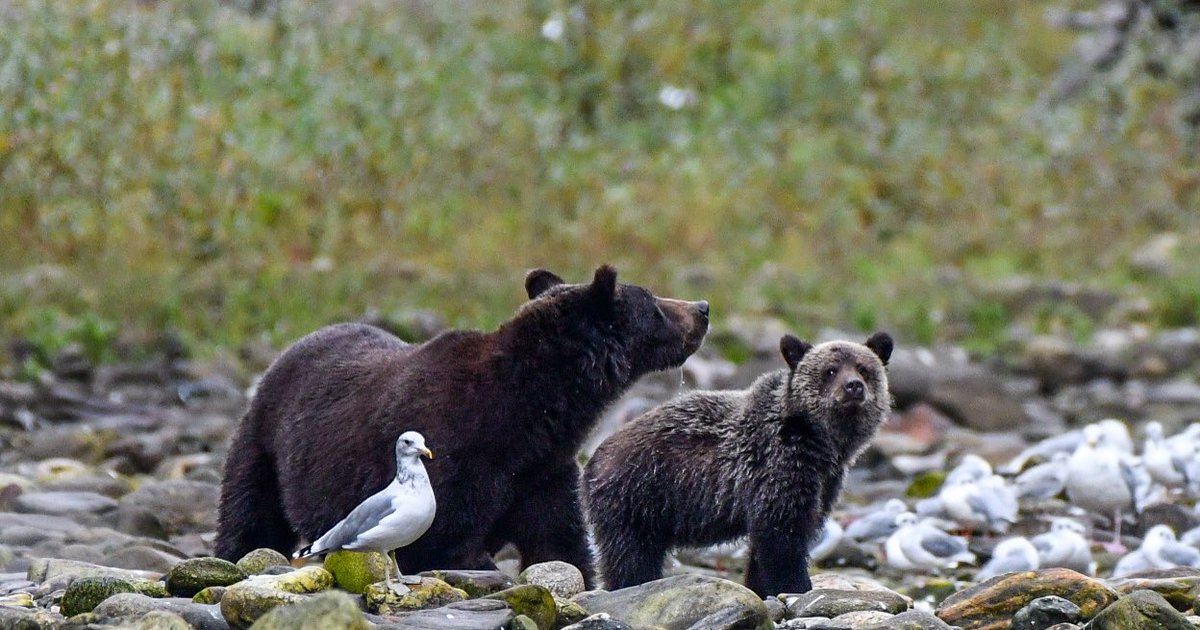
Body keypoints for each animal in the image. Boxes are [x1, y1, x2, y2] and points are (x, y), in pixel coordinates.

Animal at [214, 265, 709, 585]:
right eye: (655, 304)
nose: (702, 307)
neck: (527, 416)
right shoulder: (456, 456)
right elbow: (448, 542)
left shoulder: (543, 472)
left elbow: (558, 542)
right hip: (266, 445)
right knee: (251, 516)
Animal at [582, 331, 892, 597]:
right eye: (830, 370)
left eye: (864, 368)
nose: (853, 387)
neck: (818, 442)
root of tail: (593, 459)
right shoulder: (778, 470)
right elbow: (782, 541)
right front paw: (797, 586)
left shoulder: (823, 483)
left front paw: (761, 588)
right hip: (636, 498)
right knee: (630, 557)